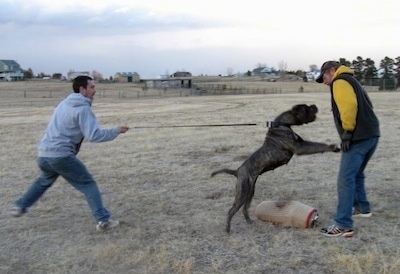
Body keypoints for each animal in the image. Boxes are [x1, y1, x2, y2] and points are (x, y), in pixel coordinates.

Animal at [211, 104, 340, 232]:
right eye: (307, 108)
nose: (314, 105)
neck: (282, 123)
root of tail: (237, 171)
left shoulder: (302, 143)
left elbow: (317, 144)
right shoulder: (300, 147)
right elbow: (318, 146)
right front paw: (333, 147)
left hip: (250, 192)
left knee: (244, 208)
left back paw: (249, 222)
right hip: (242, 193)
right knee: (231, 210)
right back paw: (228, 229)